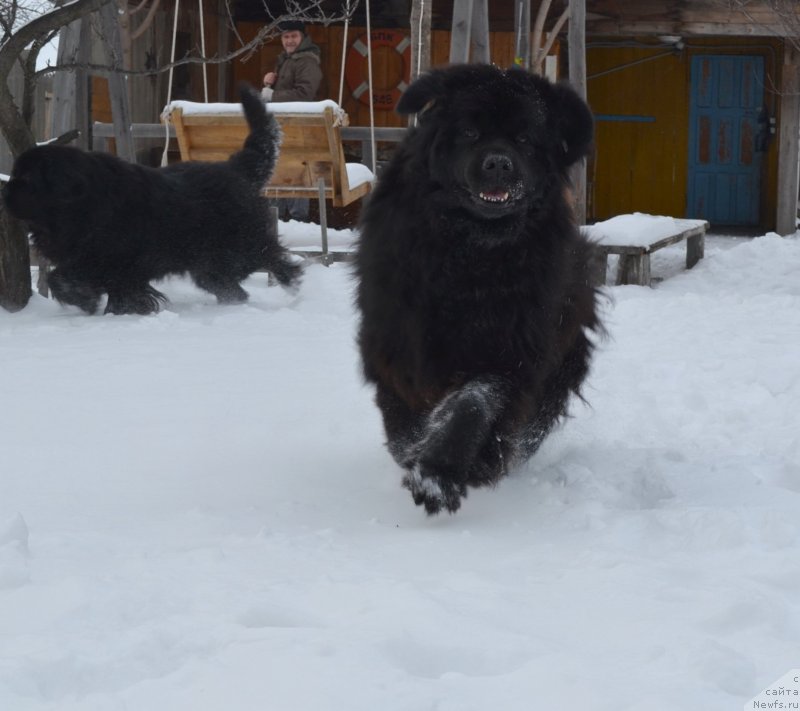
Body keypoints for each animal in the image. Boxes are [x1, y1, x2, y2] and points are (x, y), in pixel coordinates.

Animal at [1, 85, 302, 316]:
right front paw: (94, 303)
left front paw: (100, 305)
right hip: (209, 263)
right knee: (230, 285)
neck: (82, 204)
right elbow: (60, 277)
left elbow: (65, 277)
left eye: (26, 179)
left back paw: (292, 283)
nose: (4, 191)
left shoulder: (111, 259)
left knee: (273, 255)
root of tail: (234, 168)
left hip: (239, 245)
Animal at [354, 64, 600, 516]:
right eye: (469, 132)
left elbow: (473, 403)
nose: (499, 163)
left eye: (524, 139)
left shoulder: (510, 351)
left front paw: (439, 476)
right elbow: (403, 418)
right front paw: (416, 451)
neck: (471, 254)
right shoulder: (397, 340)